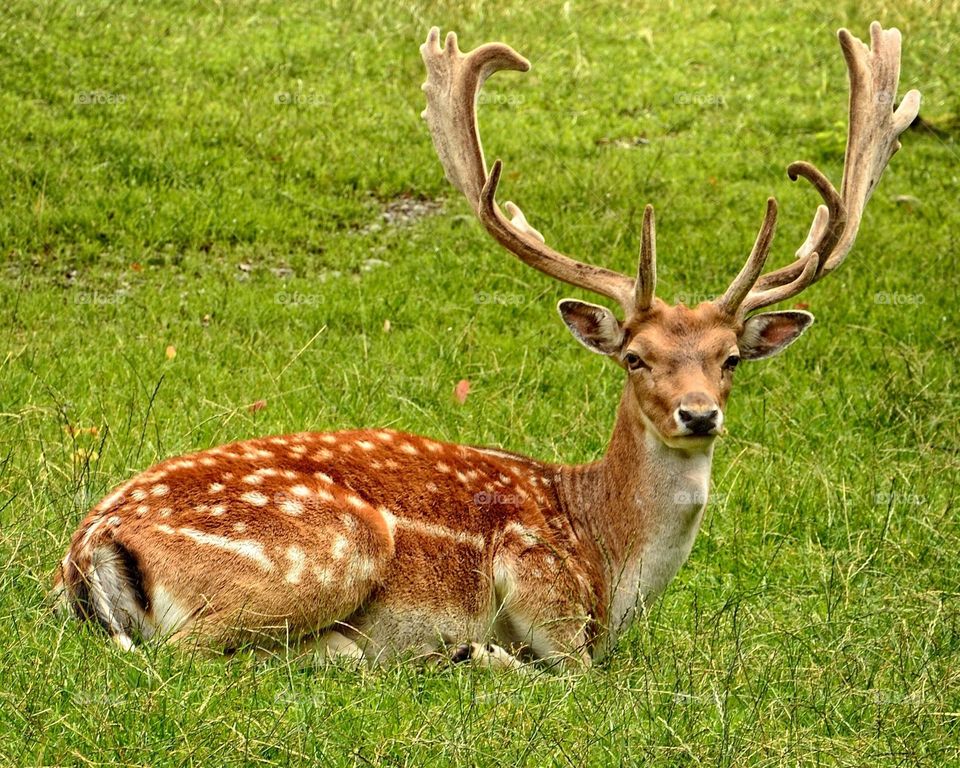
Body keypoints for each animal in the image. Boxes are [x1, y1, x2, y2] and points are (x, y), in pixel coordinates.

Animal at [53, 23, 919, 670]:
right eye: (635, 357)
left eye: (729, 358)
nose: (699, 414)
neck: (608, 559)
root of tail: (89, 546)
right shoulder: (540, 582)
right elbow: (575, 671)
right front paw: (484, 653)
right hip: (331, 547)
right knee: (192, 652)